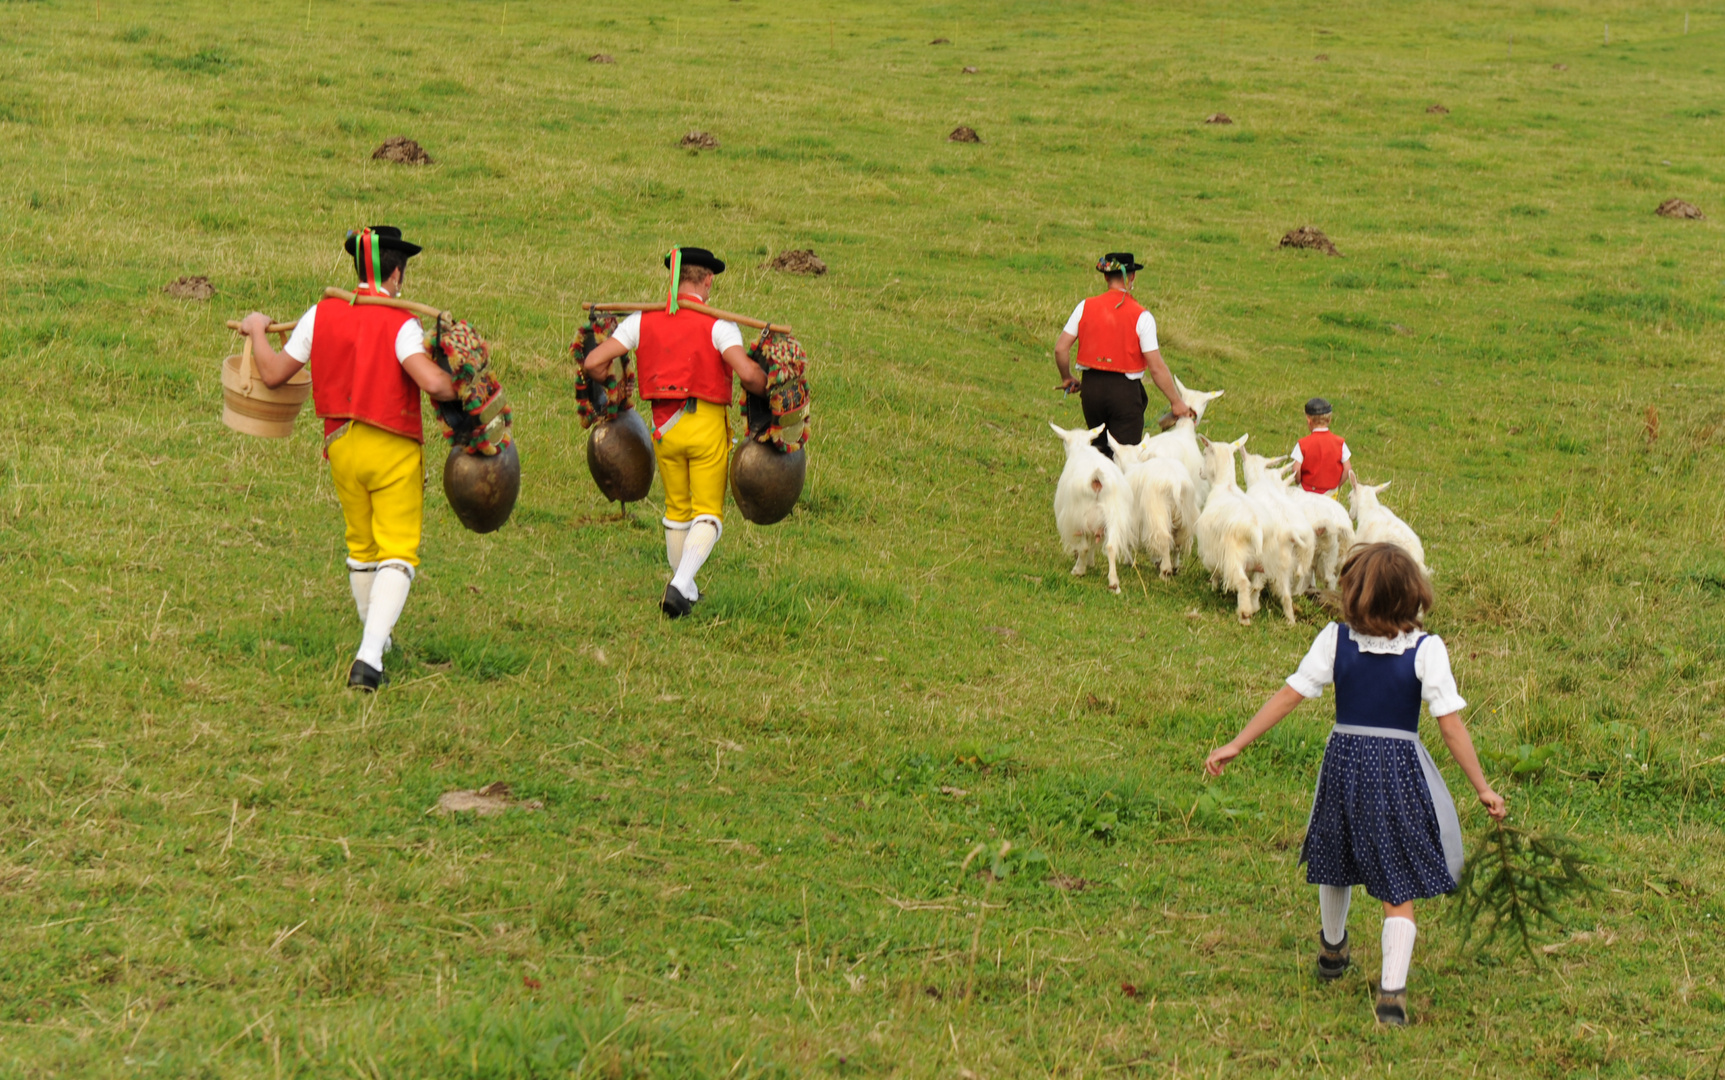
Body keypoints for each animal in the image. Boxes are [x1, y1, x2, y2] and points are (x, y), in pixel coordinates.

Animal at [1048, 420, 1131, 590]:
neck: (1081, 448)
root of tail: (1097, 478)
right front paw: (1091, 563)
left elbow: (1086, 546)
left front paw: (1085, 565)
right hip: (1114, 515)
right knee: (1111, 546)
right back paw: (1113, 582)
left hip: (1081, 515)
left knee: (1084, 546)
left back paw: (1078, 570)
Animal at [1104, 433, 1200, 576]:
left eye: (1114, 456)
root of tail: (1176, 483)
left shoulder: (1132, 516)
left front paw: (1129, 561)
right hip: (1185, 514)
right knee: (1178, 541)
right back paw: (1174, 567)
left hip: (1157, 512)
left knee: (1164, 538)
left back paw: (1165, 570)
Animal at [1200, 433, 1269, 621]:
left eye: (1204, 453)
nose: (1200, 472)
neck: (1225, 484)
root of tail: (1256, 531)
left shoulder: (1212, 550)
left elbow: (1215, 571)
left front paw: (1213, 586)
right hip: (1265, 563)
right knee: (1257, 586)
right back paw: (1254, 607)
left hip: (1234, 557)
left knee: (1244, 582)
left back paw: (1244, 613)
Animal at [1242, 445, 1304, 621]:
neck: (1260, 481)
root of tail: (1288, 531)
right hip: (1286, 562)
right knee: (1286, 595)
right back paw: (1290, 620)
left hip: (1266, 557)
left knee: (1256, 585)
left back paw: (1252, 607)